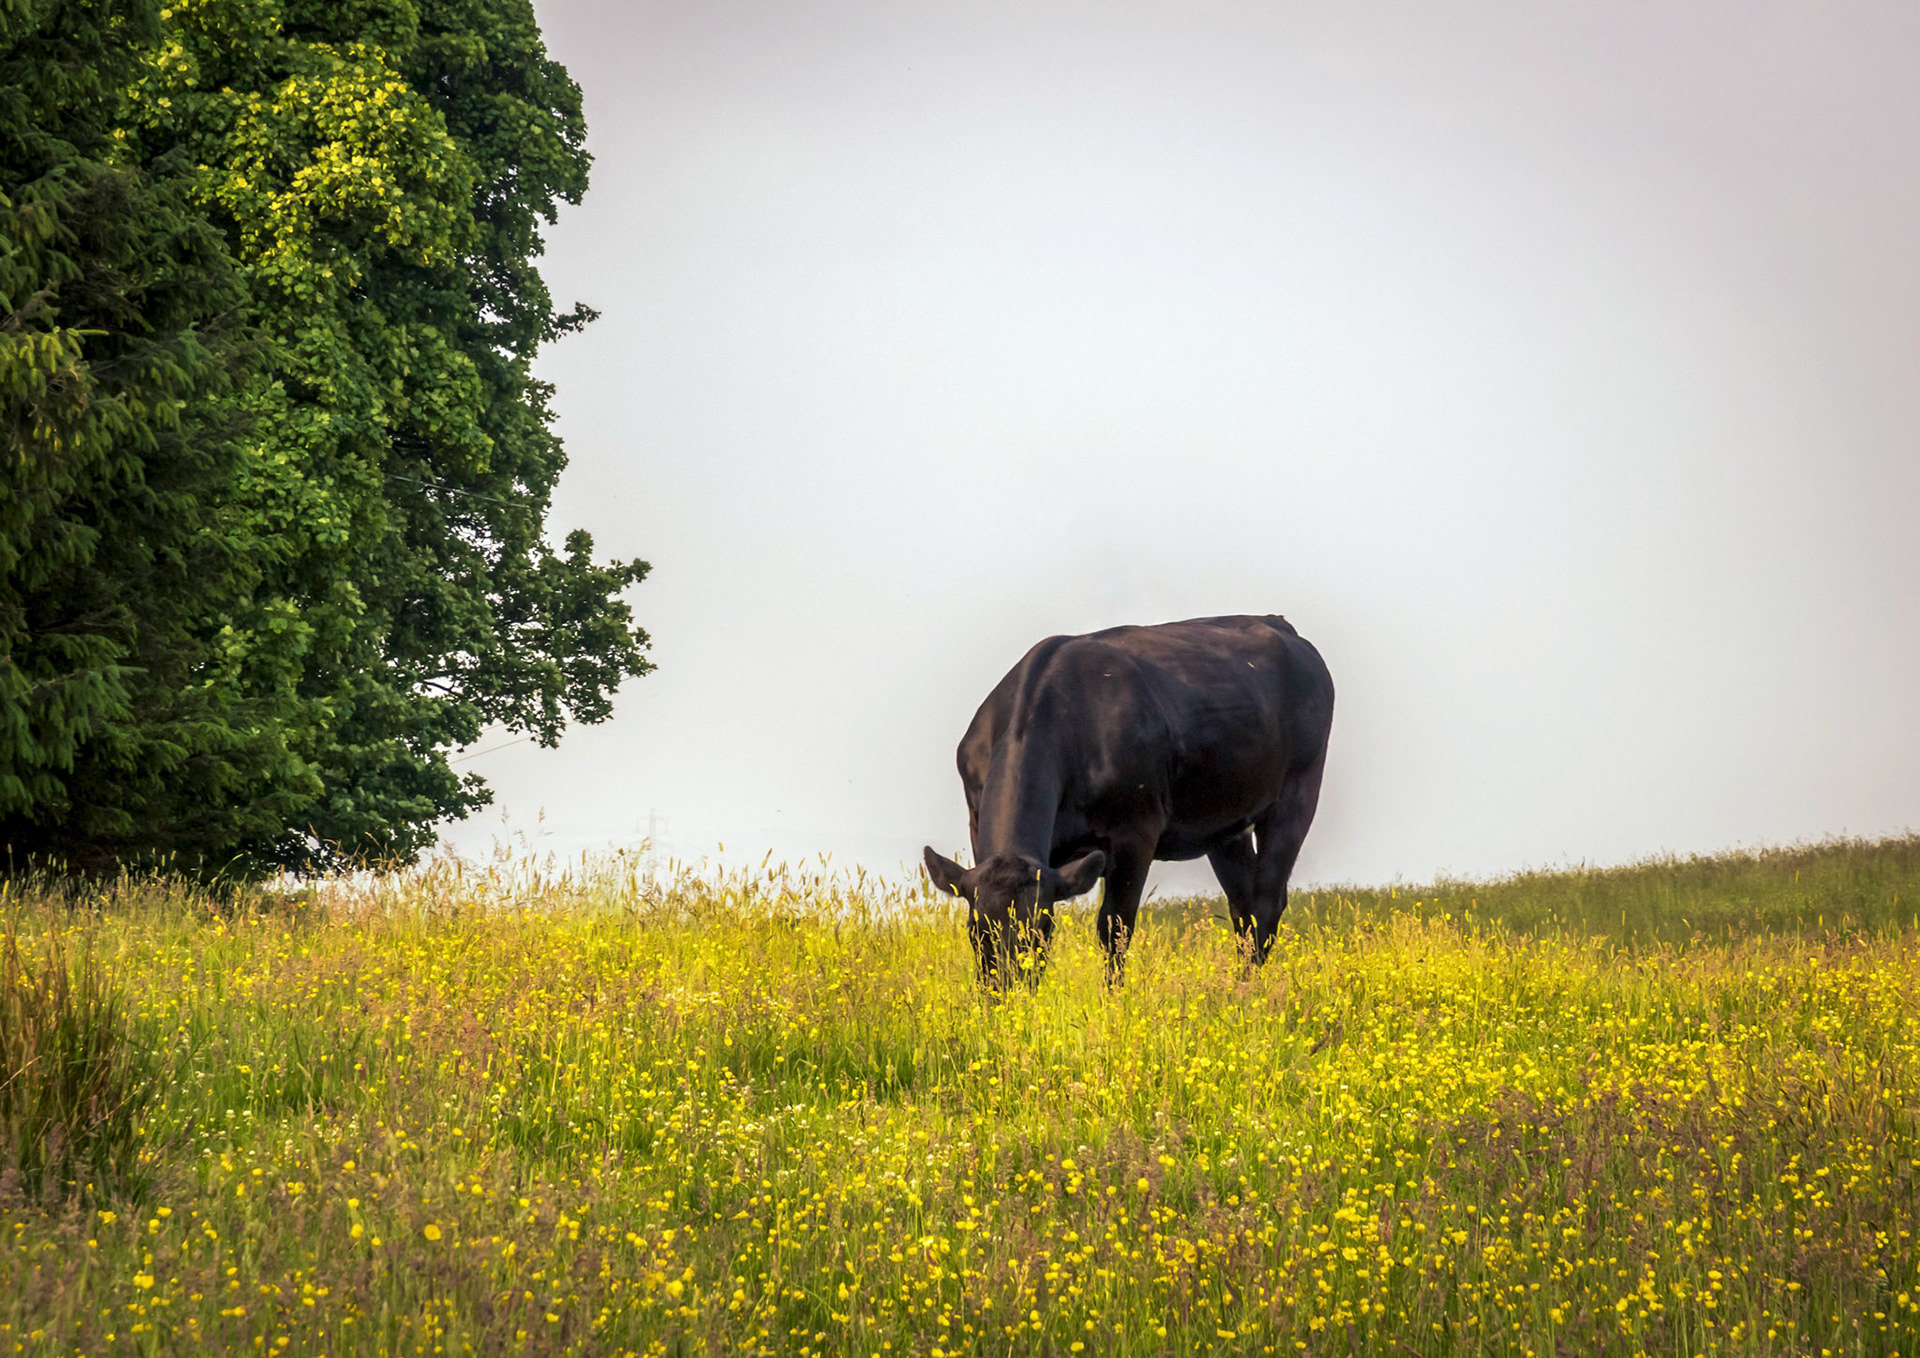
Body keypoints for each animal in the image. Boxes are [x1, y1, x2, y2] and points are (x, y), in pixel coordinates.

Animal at [923, 614, 1334, 987]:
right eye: (975, 928)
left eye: (1042, 928)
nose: (1006, 994)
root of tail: (1277, 623)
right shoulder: (977, 821)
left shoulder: (1135, 832)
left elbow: (1115, 927)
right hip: (1226, 820)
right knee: (1242, 904)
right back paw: (1242, 986)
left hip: (1297, 792)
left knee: (1266, 900)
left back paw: (1248, 994)